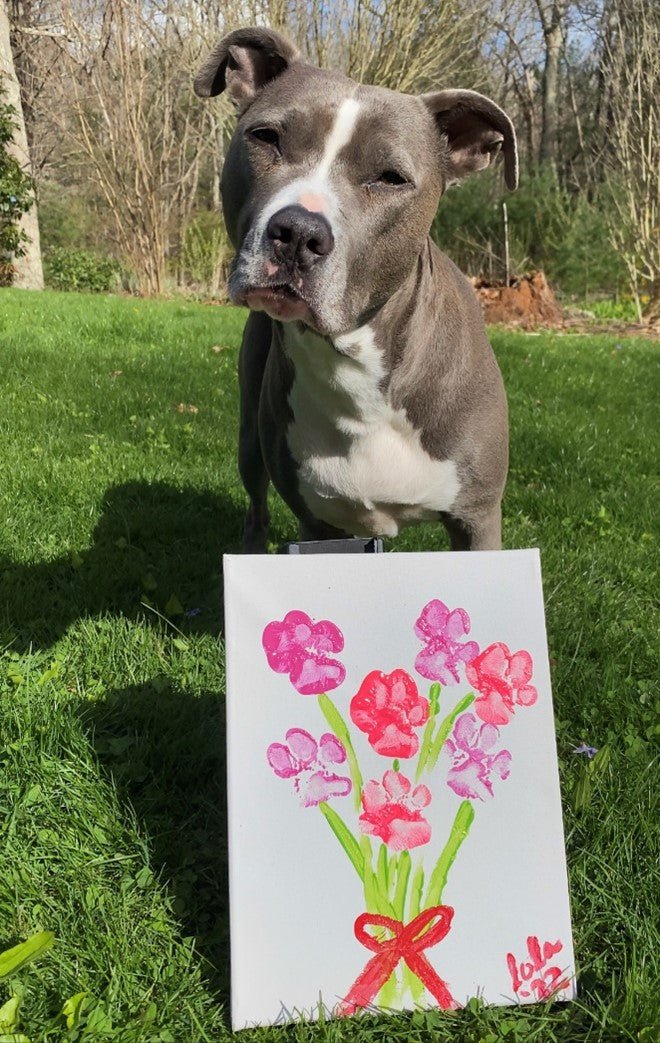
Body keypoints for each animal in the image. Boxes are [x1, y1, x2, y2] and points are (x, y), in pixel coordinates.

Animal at [192, 26, 517, 554]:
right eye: (266, 137)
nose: (298, 233)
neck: (355, 366)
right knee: (256, 506)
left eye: (391, 178)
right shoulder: (319, 524)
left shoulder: (478, 520)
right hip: (250, 439)